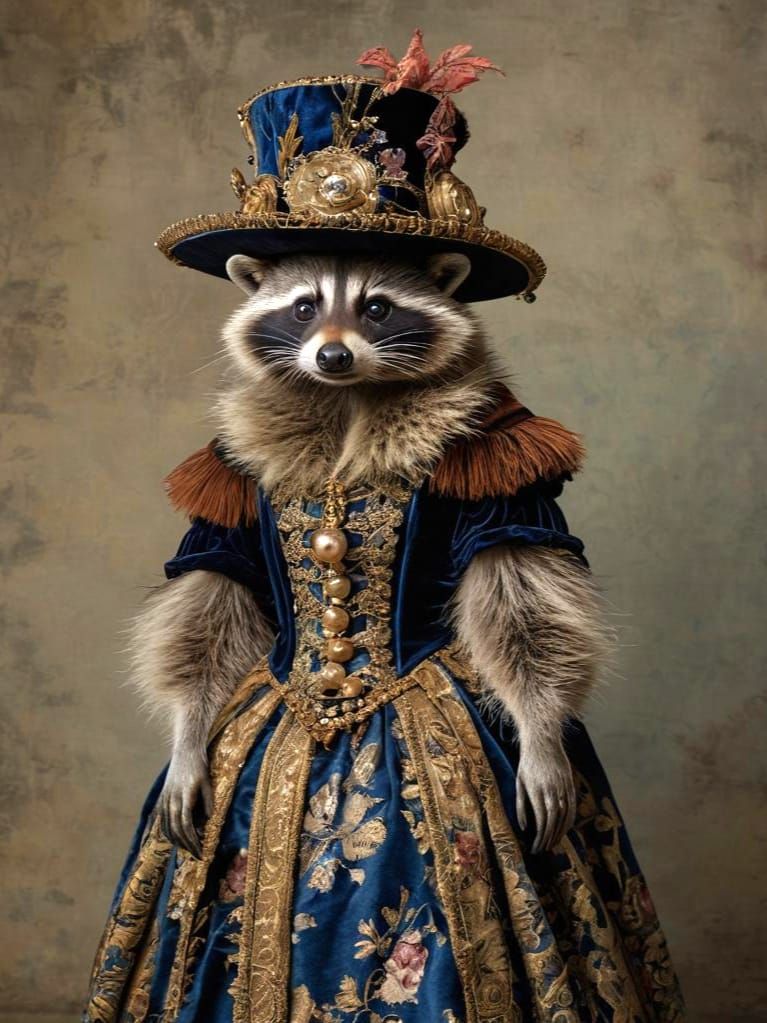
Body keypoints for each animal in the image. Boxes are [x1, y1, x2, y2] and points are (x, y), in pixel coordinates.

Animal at [132, 251, 609, 857]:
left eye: (377, 308)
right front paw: (189, 737)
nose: (333, 356)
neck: (349, 398)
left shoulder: (500, 460)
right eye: (304, 307)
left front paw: (541, 734)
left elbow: (520, 591)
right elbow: (213, 583)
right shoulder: (227, 472)